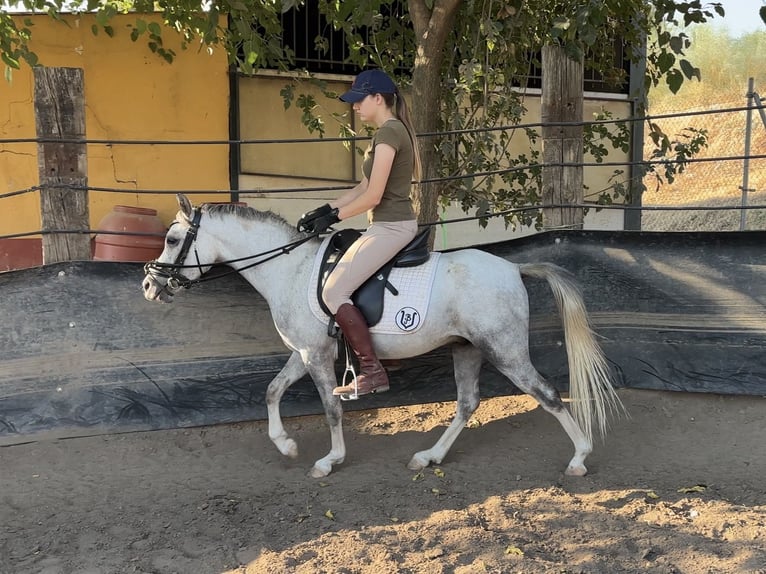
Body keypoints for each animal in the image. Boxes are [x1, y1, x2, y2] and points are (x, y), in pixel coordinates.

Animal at [142, 194, 623, 478]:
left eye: (172, 239)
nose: (149, 286)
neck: (291, 270)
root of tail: (512, 268)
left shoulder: (316, 356)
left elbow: (332, 408)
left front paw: (329, 460)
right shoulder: (305, 351)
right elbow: (272, 390)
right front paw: (286, 445)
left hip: (504, 350)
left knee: (547, 394)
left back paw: (579, 458)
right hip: (466, 350)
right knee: (467, 403)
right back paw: (429, 456)